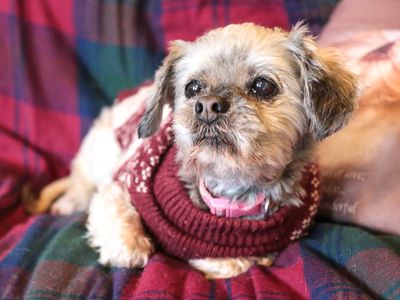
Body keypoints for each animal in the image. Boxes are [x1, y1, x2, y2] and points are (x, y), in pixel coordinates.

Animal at [28, 22, 360, 278]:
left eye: (262, 86)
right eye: (193, 88)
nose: (207, 106)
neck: (231, 192)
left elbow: (234, 261)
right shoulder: (119, 185)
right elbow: (116, 217)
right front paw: (130, 246)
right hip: (97, 156)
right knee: (81, 188)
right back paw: (66, 204)